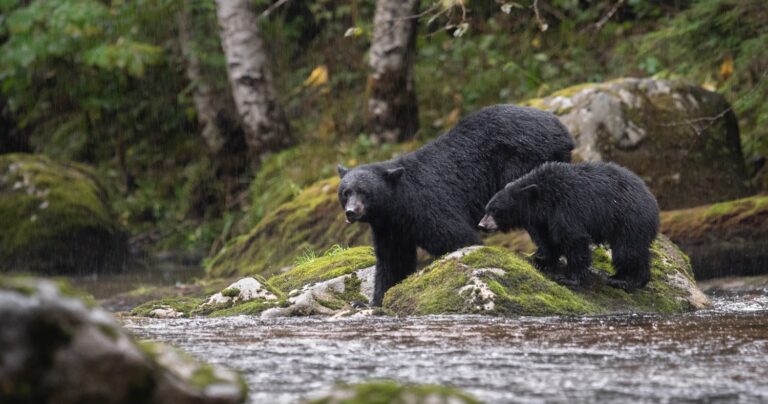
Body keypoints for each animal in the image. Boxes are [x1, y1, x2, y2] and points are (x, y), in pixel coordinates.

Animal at [337, 105, 575, 306]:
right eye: (346, 192)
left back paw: (543, 255)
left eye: (364, 192)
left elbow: (456, 236)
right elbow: (393, 260)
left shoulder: (427, 205)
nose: (351, 212)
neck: (398, 203)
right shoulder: (390, 227)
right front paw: (369, 302)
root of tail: (562, 129)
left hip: (525, 162)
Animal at [477, 161, 660, 290]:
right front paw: (540, 261)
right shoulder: (542, 220)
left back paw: (626, 280)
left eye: (495, 211)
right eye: (487, 209)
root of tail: (653, 202)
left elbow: (573, 239)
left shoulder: (568, 206)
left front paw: (569, 278)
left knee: (627, 251)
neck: (544, 198)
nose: (481, 225)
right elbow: (547, 240)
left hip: (630, 220)